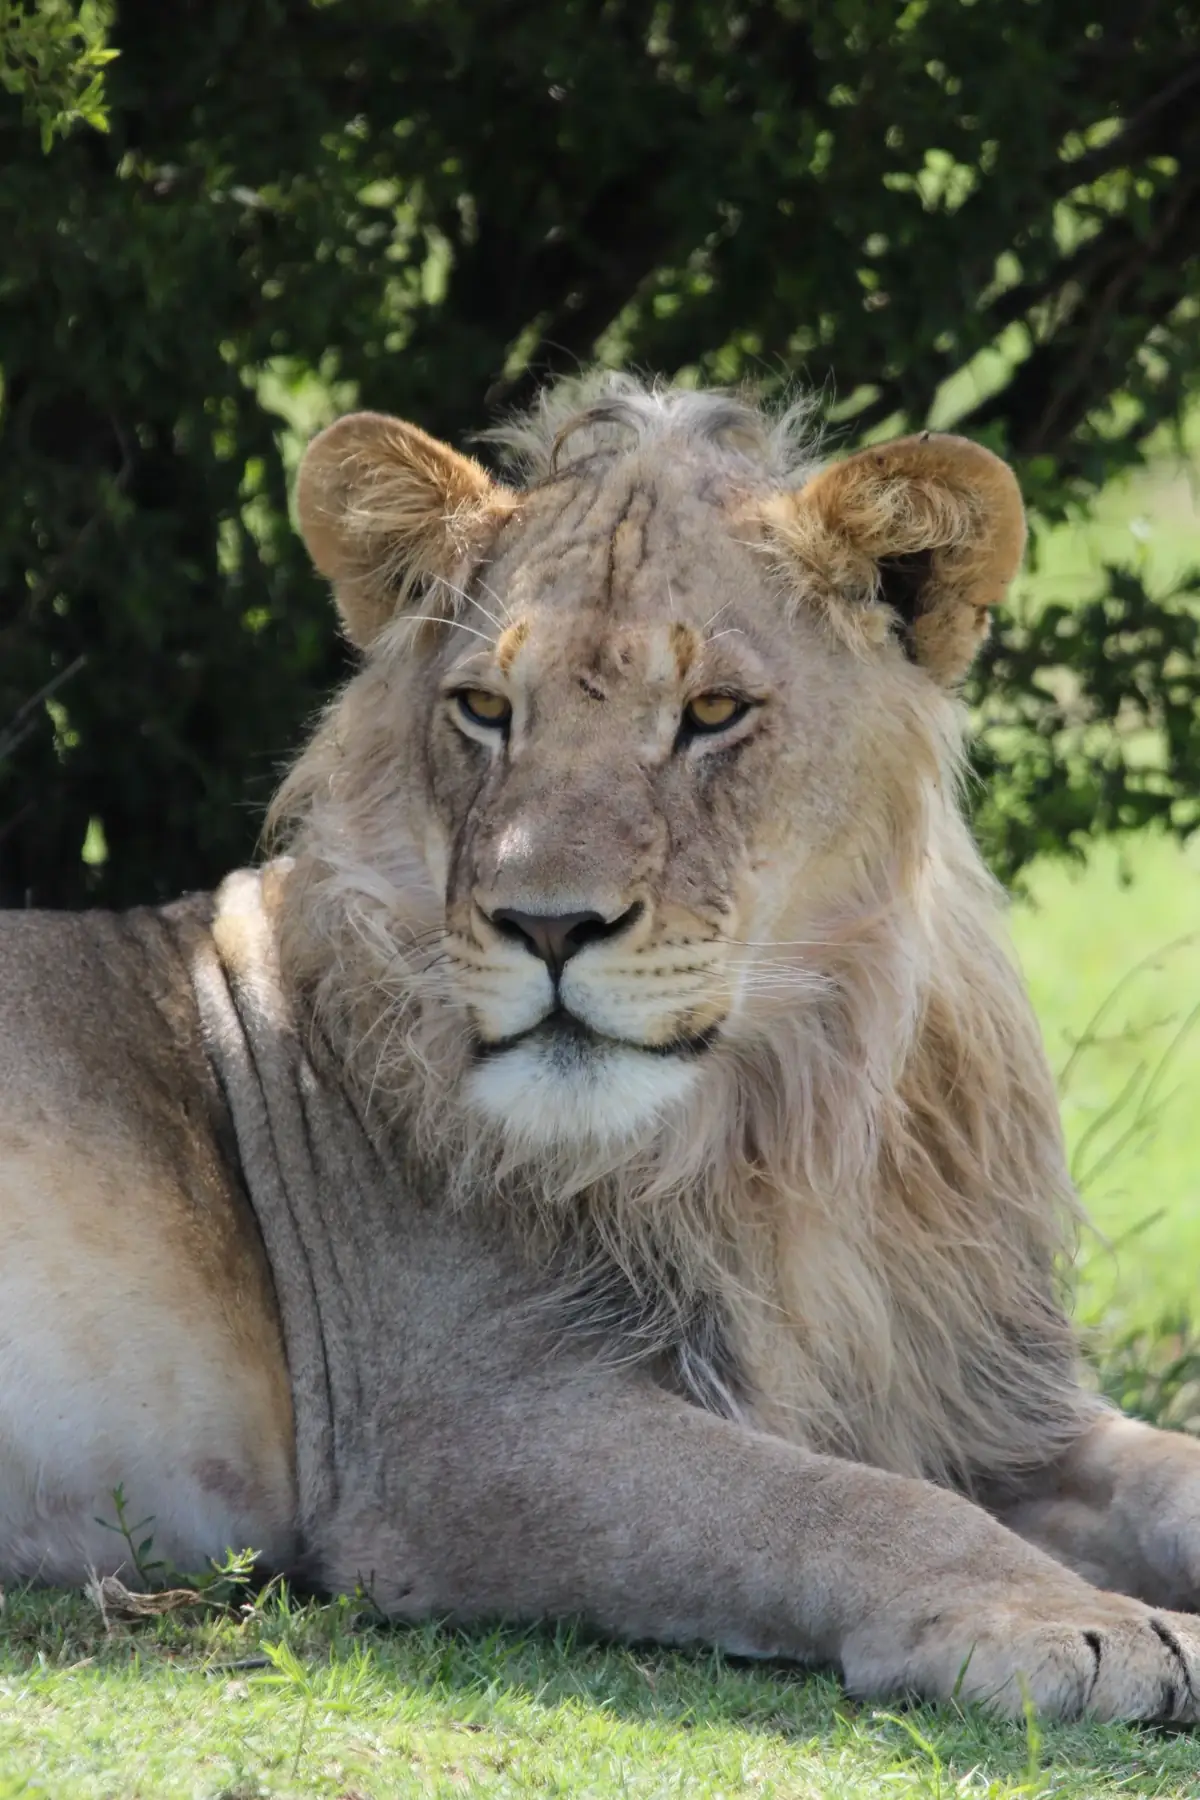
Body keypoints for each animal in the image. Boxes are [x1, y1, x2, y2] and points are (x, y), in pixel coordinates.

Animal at [4, 374, 1200, 1721]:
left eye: (712, 714)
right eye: (485, 710)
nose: (547, 923)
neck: (791, 1132)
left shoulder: (985, 1403)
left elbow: (1167, 1469)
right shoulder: (457, 1430)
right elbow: (851, 1505)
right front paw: (1079, 1625)